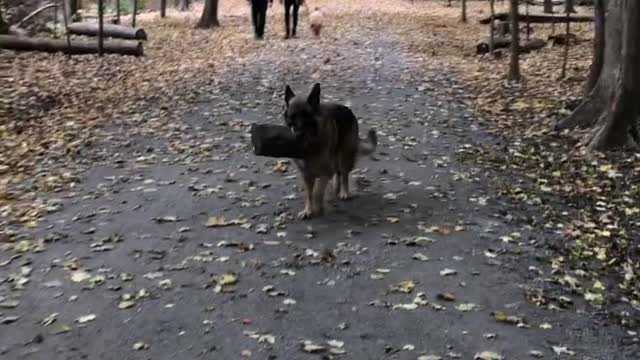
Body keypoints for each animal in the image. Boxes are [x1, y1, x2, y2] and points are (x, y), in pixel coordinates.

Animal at [284, 83, 378, 219]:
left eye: (306, 116)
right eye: (293, 116)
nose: (298, 134)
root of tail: (347, 109)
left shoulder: (325, 173)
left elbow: (317, 192)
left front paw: (317, 208)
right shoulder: (306, 175)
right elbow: (309, 194)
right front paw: (308, 210)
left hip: (344, 156)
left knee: (344, 174)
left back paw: (344, 192)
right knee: (337, 173)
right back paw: (336, 186)